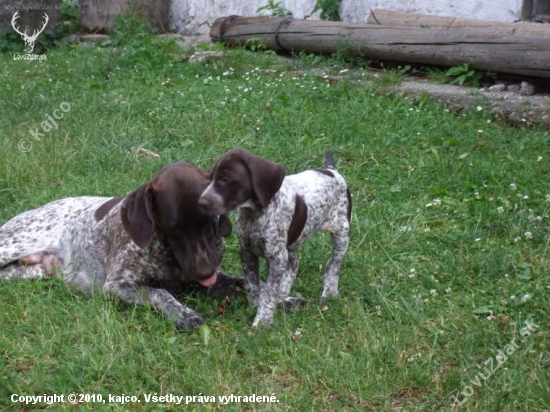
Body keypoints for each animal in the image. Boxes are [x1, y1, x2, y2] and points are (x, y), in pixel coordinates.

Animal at [0, 162, 244, 331]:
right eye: (174, 228)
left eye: (209, 220)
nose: (205, 271)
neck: (166, 253)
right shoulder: (117, 285)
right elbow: (159, 293)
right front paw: (184, 314)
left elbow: (241, 282)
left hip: (30, 272)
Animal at [198, 149, 351, 327]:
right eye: (211, 178)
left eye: (225, 179)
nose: (200, 202)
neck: (254, 214)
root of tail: (332, 170)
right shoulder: (247, 252)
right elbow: (252, 284)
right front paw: (254, 307)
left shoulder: (276, 257)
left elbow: (269, 292)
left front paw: (262, 321)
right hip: (292, 246)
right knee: (294, 265)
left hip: (342, 232)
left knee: (333, 263)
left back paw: (330, 292)